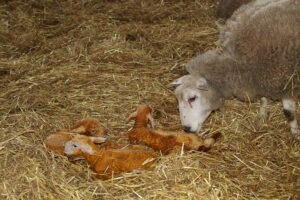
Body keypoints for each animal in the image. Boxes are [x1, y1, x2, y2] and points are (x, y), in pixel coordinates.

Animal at [171, 0, 300, 140]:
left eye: (192, 98)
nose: (186, 129)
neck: (235, 63)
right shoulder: (260, 79)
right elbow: (263, 99)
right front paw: (261, 115)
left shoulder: (287, 82)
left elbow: (288, 112)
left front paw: (295, 133)